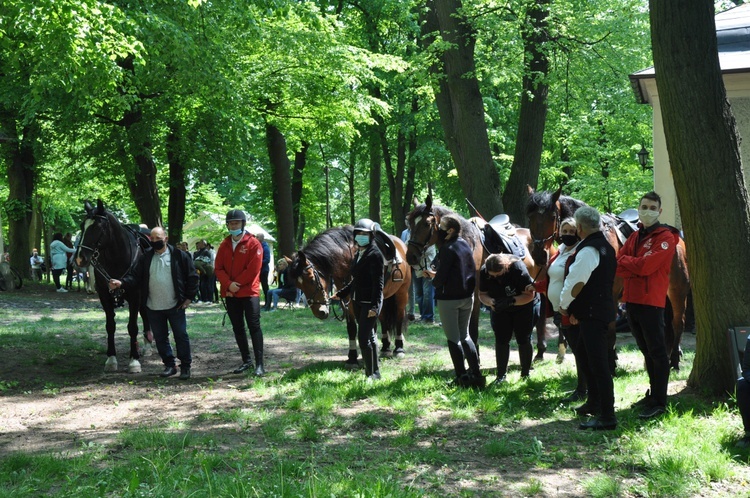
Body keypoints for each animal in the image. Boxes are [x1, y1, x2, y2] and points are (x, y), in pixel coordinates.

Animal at [75, 198, 154, 374]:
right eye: (82, 226)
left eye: (98, 227)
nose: (80, 258)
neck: (117, 257)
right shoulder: (104, 295)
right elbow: (110, 326)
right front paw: (111, 359)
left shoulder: (135, 295)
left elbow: (132, 327)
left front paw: (134, 361)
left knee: (145, 314)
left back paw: (147, 346)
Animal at [290, 226, 414, 366]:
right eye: (298, 285)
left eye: (311, 279)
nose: (320, 312)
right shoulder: (348, 301)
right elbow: (352, 328)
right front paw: (353, 357)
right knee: (383, 319)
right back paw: (385, 347)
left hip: (401, 294)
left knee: (399, 317)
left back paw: (399, 348)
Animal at [406, 196, 552, 358]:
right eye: (410, 223)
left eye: (426, 224)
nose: (411, 256)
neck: (467, 242)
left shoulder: (475, 295)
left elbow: (472, 328)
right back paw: (540, 351)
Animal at [524, 186, 692, 370]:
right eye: (530, 217)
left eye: (552, 217)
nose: (539, 254)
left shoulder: (609, 297)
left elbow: (609, 331)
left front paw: (610, 363)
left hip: (677, 291)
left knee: (678, 322)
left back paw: (674, 360)